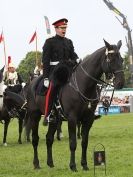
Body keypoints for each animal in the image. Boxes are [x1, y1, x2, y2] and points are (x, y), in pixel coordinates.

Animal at [26, 39, 124, 170]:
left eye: (122, 59)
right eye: (111, 59)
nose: (121, 83)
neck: (83, 86)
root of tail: (32, 84)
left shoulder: (88, 119)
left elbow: (84, 142)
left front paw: (84, 165)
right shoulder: (72, 118)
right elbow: (73, 143)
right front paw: (73, 166)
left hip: (54, 120)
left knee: (49, 138)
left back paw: (50, 163)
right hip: (34, 116)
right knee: (35, 139)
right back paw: (36, 164)